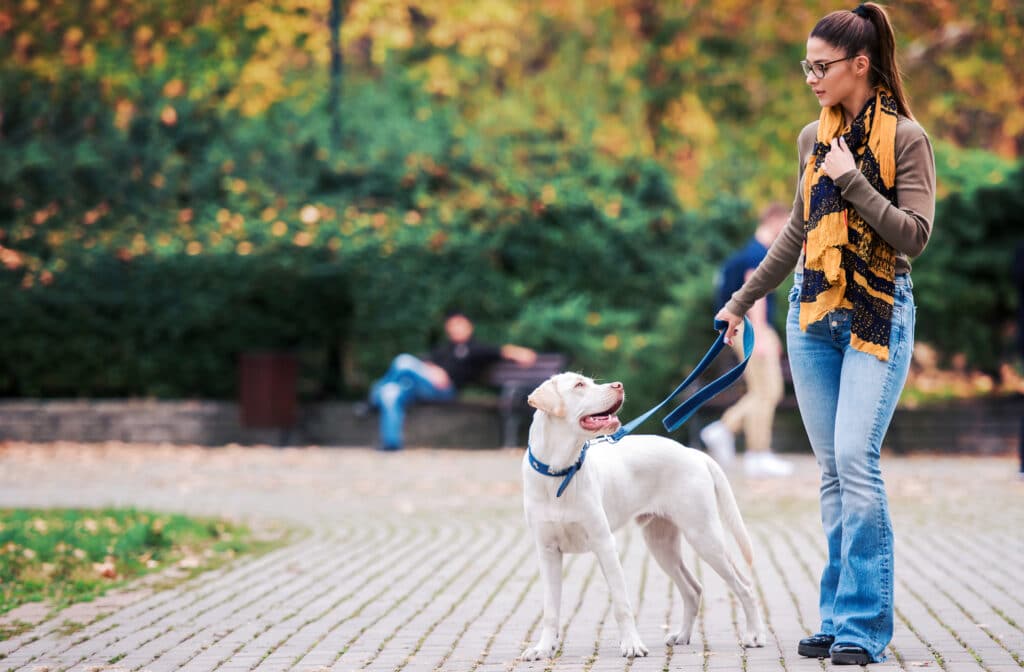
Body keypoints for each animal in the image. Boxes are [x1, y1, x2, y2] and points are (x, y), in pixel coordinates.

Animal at [524, 374, 765, 659]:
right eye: (579, 385)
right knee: (693, 590)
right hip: (661, 545)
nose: (618, 385)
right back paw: (682, 636)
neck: (560, 472)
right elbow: (550, 610)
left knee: (744, 585)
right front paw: (542, 649)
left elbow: (621, 604)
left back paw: (754, 636)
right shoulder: (548, 552)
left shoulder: (604, 544)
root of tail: (693, 452)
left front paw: (632, 645)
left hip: (704, 536)